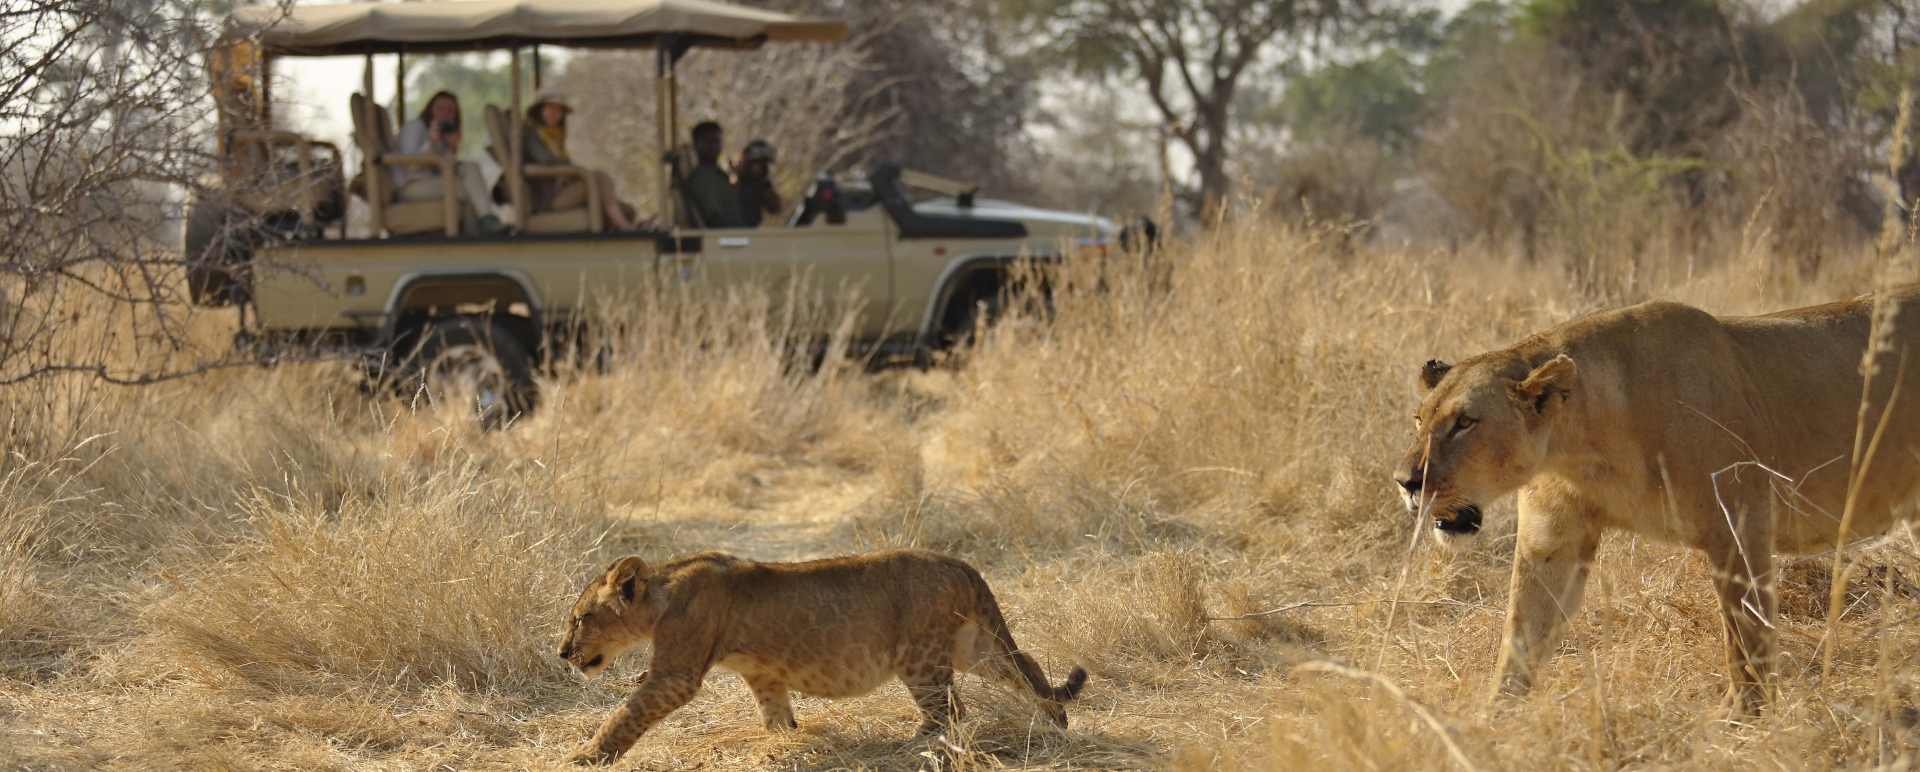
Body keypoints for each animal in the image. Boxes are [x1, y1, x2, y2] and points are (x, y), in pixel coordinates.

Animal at [555, 548, 1089, 765]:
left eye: (580, 618)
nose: (562, 653)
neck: (661, 594)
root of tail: (962, 564)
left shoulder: (675, 674)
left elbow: (626, 714)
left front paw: (585, 755)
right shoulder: (764, 675)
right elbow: (775, 715)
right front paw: (781, 745)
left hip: (921, 657)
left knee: (950, 710)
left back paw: (910, 745)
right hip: (972, 647)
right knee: (1028, 667)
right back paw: (1055, 721)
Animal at [1393, 283, 1920, 716]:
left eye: (1465, 423)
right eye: (1420, 419)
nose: (1405, 481)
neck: (1581, 444)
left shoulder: (1741, 524)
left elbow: (1745, 635)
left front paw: (1744, 718)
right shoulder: (1553, 538)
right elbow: (1522, 633)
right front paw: (1490, 722)